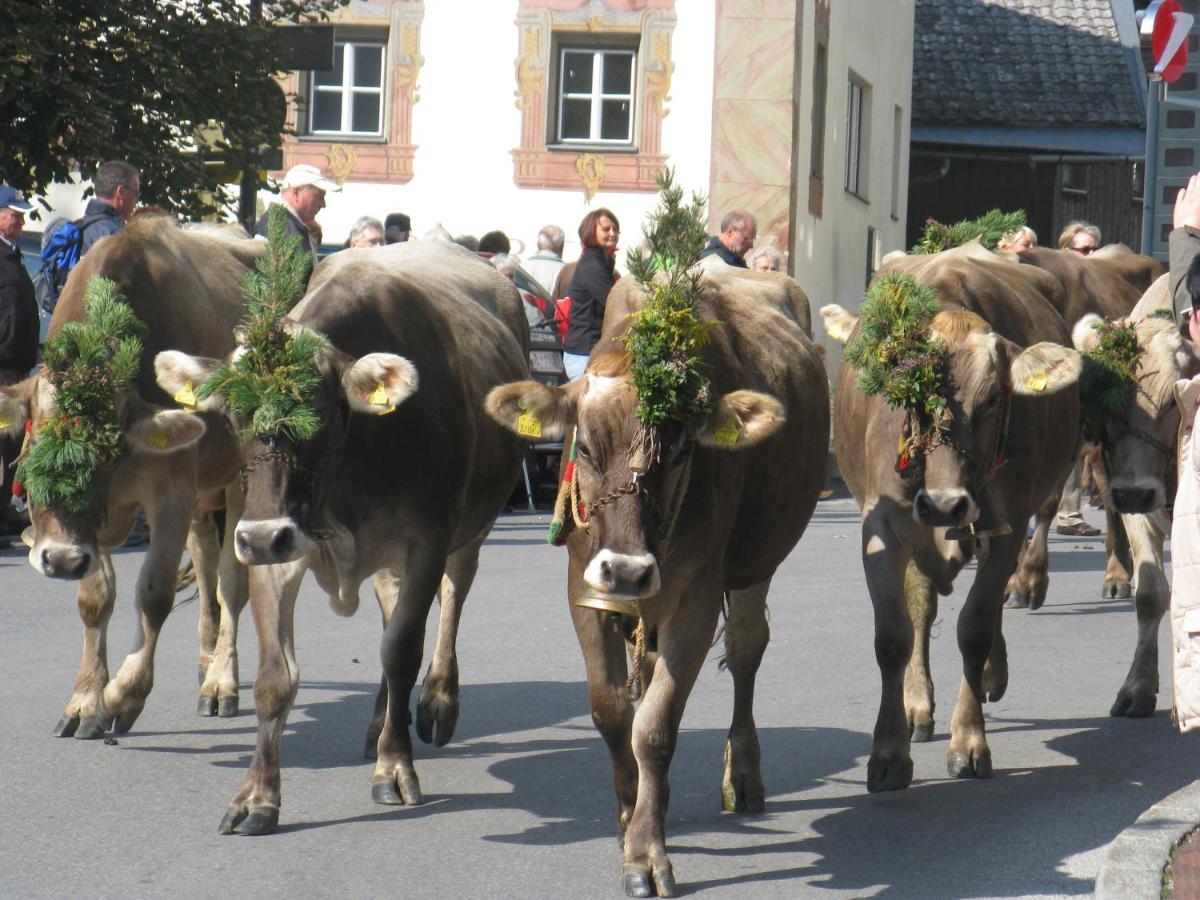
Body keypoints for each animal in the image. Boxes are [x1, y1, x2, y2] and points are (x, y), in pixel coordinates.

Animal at [0, 218, 258, 739]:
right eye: (34, 448)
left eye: (109, 450)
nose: (59, 560)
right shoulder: (95, 529)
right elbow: (95, 599)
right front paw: (84, 702)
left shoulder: (171, 491)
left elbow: (154, 594)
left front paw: (122, 696)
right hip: (204, 494)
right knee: (206, 566)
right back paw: (206, 665)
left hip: (238, 479)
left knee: (230, 581)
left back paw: (222, 682)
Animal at [152, 236, 528, 835]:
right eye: (232, 416)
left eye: (320, 414)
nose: (261, 537)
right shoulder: (278, 543)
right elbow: (276, 676)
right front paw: (256, 796)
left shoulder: (426, 541)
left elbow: (401, 653)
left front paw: (394, 768)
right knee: (390, 610)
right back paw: (378, 723)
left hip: (474, 526)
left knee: (451, 599)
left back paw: (437, 702)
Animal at [482, 264, 830, 897]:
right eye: (584, 447)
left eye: (681, 449)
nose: (627, 568)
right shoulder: (586, 591)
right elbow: (611, 711)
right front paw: (629, 813)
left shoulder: (694, 599)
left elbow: (656, 728)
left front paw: (645, 852)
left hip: (755, 563)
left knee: (746, 649)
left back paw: (742, 773)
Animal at [820, 244, 1084, 787]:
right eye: (912, 393)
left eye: (993, 399)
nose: (944, 504)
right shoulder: (883, 525)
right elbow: (894, 634)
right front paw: (889, 751)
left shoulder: (1007, 523)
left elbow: (976, 626)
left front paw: (969, 741)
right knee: (922, 608)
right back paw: (917, 705)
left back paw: (992, 670)